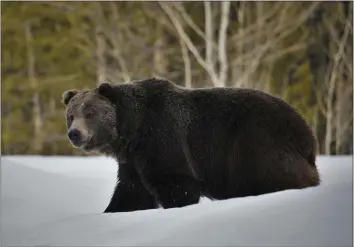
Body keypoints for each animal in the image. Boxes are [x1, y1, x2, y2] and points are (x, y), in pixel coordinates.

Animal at [63, 77, 320, 212]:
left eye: (90, 112)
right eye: (71, 114)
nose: (74, 133)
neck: (131, 133)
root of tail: (306, 132)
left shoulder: (163, 138)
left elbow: (177, 184)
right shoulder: (133, 161)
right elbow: (131, 192)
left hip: (257, 143)